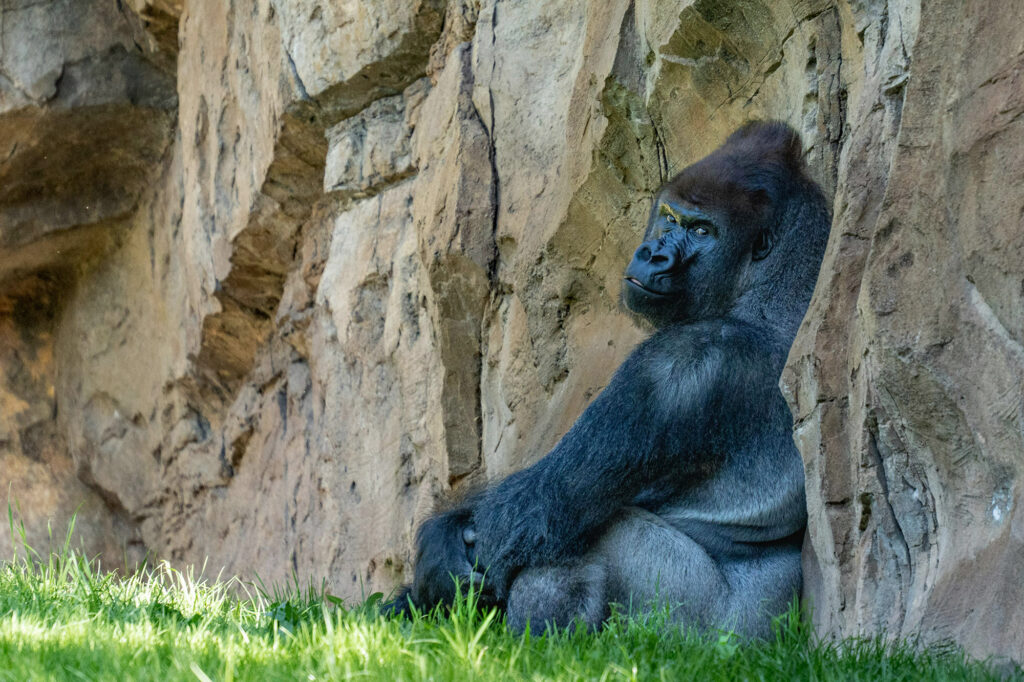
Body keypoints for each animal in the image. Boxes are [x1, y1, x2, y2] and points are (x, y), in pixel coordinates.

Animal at [386, 121, 831, 638]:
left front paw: (439, 559)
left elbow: (524, 515)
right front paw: (435, 556)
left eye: (702, 230)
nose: (653, 255)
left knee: (576, 536)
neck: (774, 292)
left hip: (701, 630)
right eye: (669, 218)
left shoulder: (681, 362)